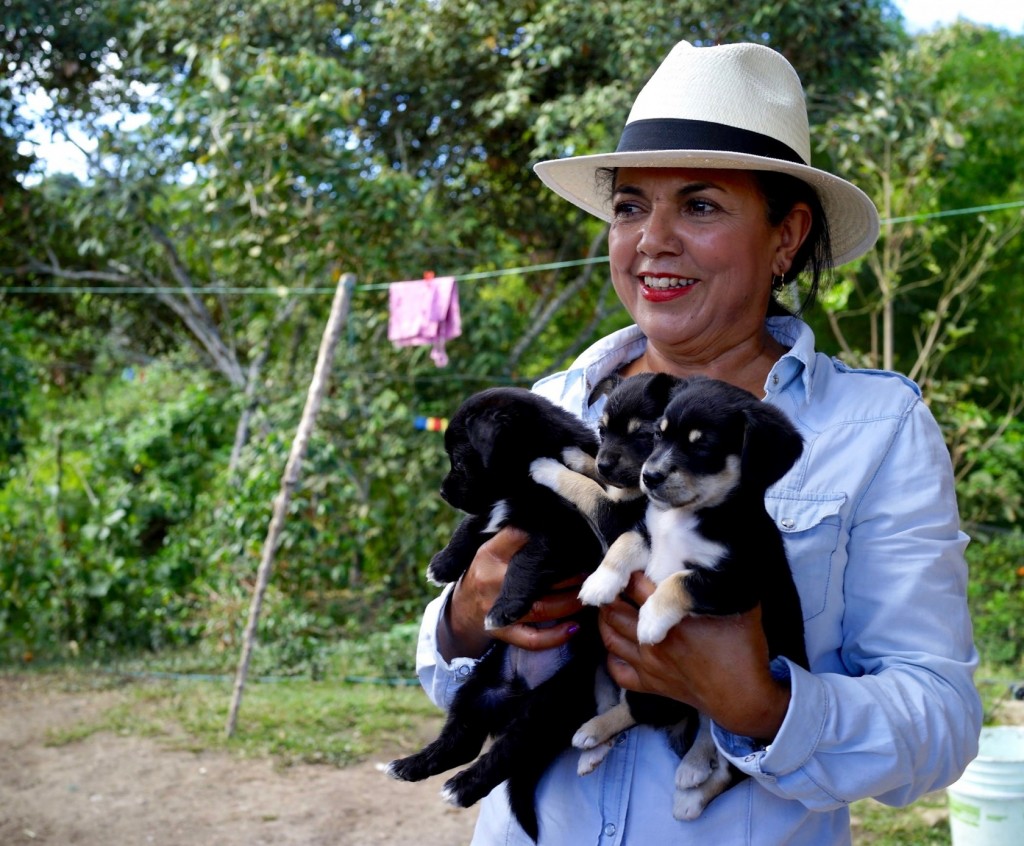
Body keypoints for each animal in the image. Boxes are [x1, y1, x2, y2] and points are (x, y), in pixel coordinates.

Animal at [385, 385, 606, 839]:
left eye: (458, 460)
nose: (443, 492)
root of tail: (517, 692)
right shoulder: (496, 511)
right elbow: (472, 526)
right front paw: (444, 564)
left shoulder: (568, 530)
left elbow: (528, 555)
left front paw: (504, 607)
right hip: (477, 686)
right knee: (462, 740)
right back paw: (410, 765)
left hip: (550, 704)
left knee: (508, 752)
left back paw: (461, 787)